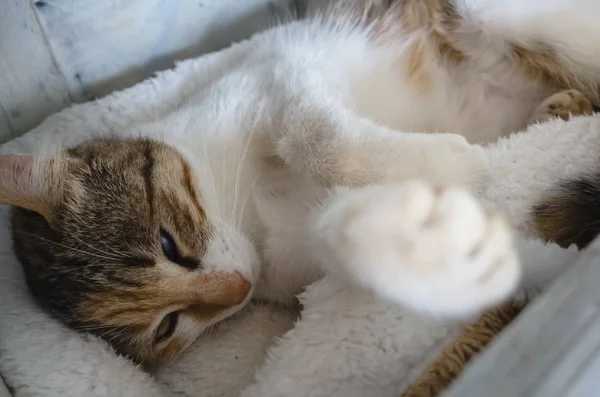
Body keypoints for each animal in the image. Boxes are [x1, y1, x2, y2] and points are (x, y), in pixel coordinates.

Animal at [1, 0, 600, 368]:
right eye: (168, 326)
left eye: (170, 245)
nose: (236, 289)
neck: (247, 210)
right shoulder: (294, 261)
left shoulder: (287, 70)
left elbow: (317, 136)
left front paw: (448, 161)